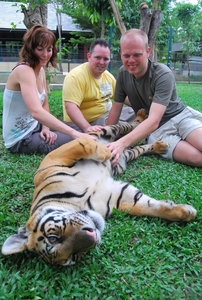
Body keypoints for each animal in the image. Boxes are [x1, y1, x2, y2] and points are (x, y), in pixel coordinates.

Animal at [1, 109, 196, 266]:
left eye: (53, 237)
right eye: (74, 256)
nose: (93, 236)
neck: (79, 203)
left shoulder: (54, 158)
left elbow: (86, 146)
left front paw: (106, 152)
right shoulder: (119, 196)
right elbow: (147, 207)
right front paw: (185, 212)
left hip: (106, 130)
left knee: (127, 127)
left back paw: (139, 119)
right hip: (127, 156)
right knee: (135, 146)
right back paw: (159, 146)